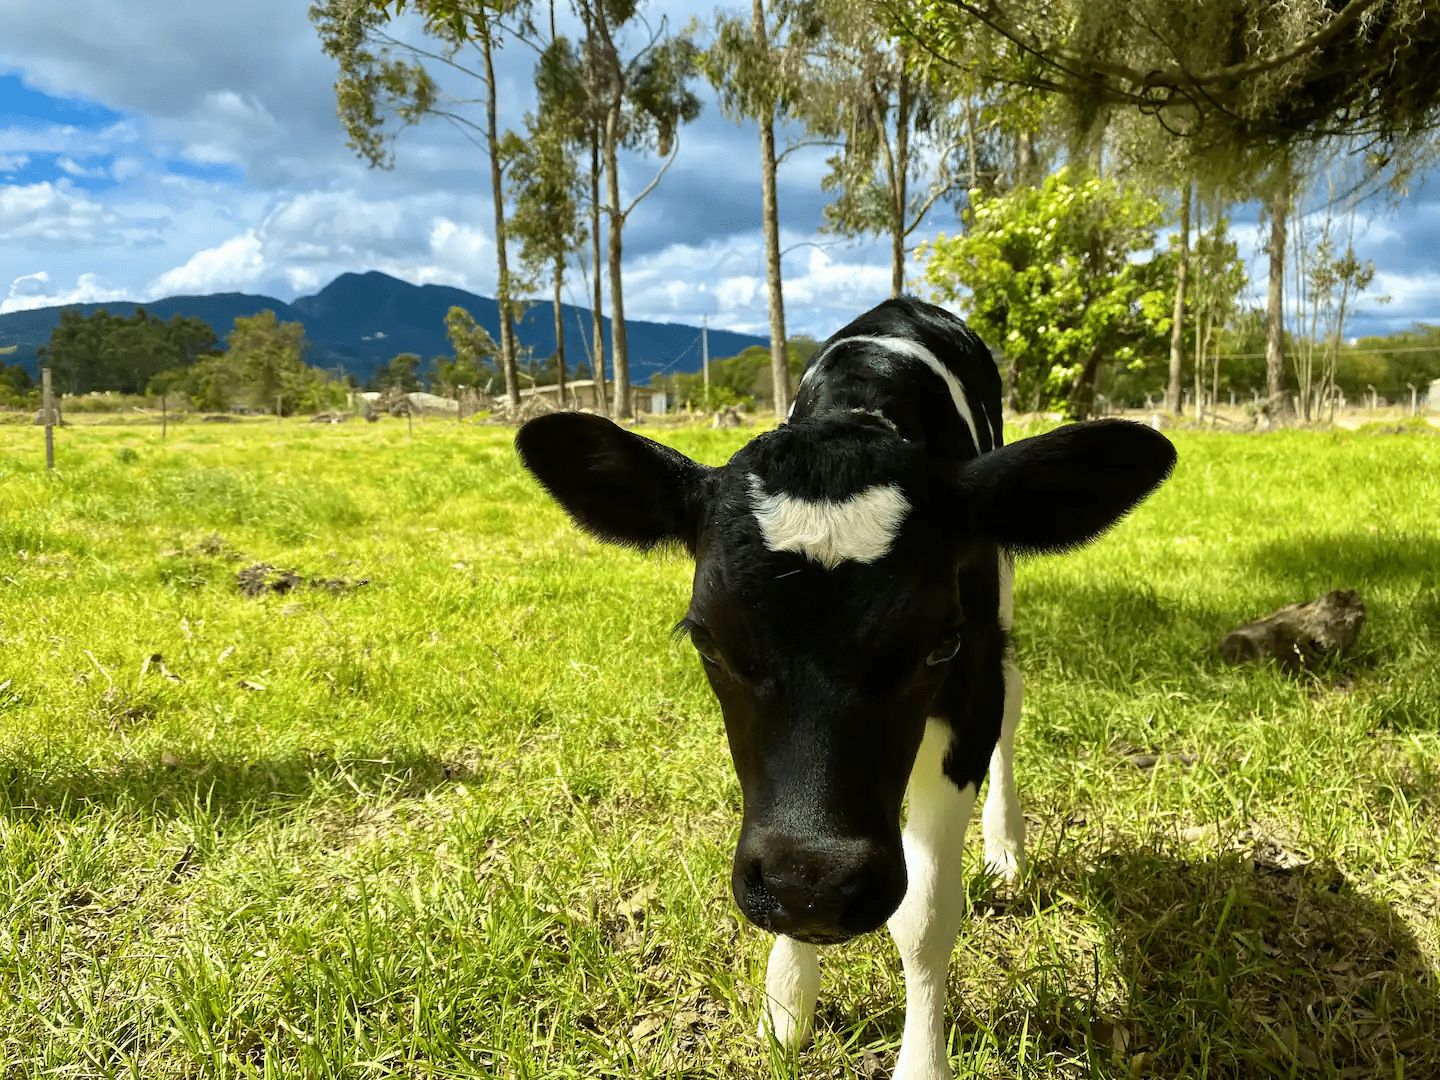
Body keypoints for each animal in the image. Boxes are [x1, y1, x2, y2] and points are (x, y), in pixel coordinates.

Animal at [515, 297, 1176, 1079]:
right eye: (707, 642)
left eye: (939, 643)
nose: (817, 889)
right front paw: (787, 1002)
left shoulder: (971, 680)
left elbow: (925, 914)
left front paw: (921, 1062)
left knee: (1014, 708)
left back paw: (1006, 846)